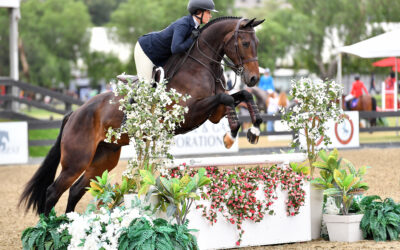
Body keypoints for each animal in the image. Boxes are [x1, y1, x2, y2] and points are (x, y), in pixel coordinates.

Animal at [19, 16, 266, 215]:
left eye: (257, 44)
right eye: (245, 43)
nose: (254, 78)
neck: (201, 65)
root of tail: (74, 113)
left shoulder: (213, 113)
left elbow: (241, 96)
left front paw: (253, 130)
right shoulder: (190, 112)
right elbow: (227, 99)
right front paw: (231, 136)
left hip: (104, 157)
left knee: (75, 190)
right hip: (76, 160)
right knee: (53, 191)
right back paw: (49, 231)